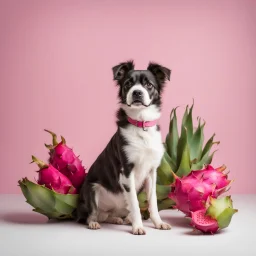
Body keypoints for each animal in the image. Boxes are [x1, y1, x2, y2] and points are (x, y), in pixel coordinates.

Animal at [75, 61, 172, 235]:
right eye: (128, 84)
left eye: (148, 84)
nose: (137, 92)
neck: (141, 123)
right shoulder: (127, 171)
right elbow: (134, 203)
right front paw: (138, 226)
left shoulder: (152, 172)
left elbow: (153, 202)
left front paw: (158, 223)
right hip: (91, 189)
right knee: (92, 214)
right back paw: (94, 222)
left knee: (108, 215)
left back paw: (120, 219)